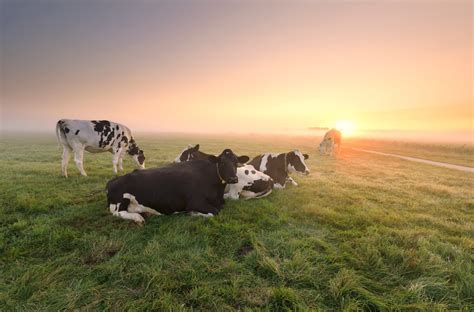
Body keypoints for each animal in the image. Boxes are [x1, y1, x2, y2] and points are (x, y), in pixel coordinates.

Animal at [106, 147, 250, 223]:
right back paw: (138, 218)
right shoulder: (195, 202)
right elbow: (215, 211)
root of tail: (112, 181)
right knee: (118, 213)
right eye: (222, 162)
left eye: (236, 163)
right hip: (122, 198)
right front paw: (194, 214)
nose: (233, 178)